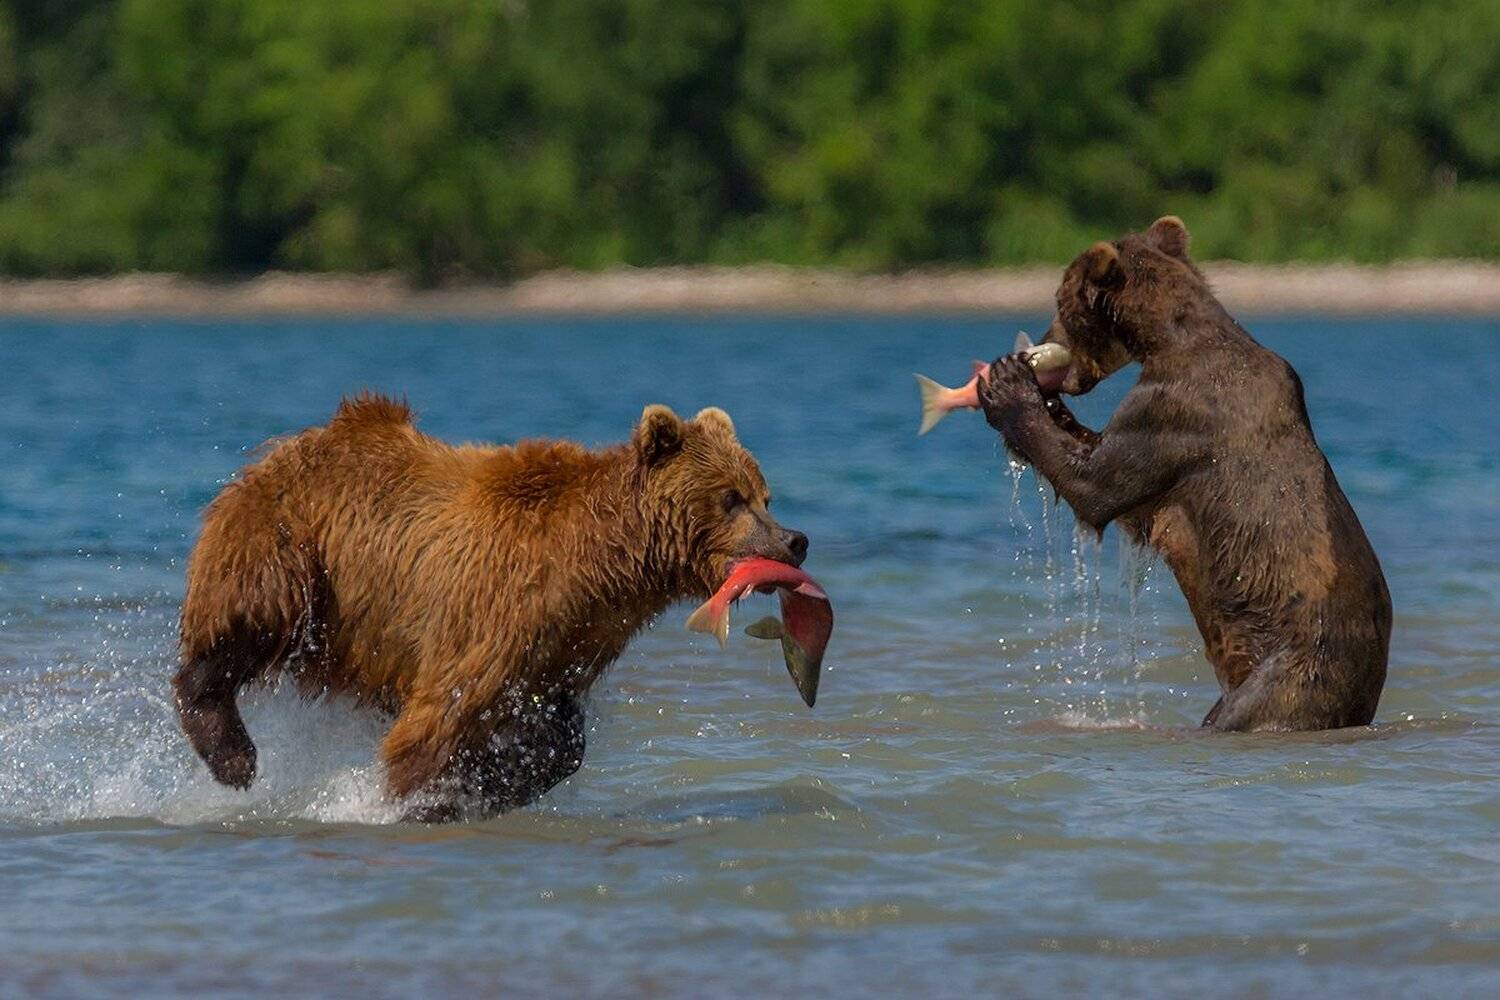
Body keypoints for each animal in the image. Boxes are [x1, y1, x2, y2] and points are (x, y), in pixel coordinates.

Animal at [174, 395, 809, 819]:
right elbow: (440, 718)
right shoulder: (492, 609)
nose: (793, 540)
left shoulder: (571, 640)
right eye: (730, 498)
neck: (604, 564)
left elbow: (559, 733)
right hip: (290, 549)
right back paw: (232, 754)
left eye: (765, 495)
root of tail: (290, 446)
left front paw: (498, 778)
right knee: (241, 626)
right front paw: (418, 796)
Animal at [977, 216, 1392, 731]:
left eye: (1059, 301)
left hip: (1292, 676)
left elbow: (1095, 487)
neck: (1170, 338)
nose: (1039, 341)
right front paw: (1050, 405)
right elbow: (1104, 465)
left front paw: (1007, 386)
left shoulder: (1172, 414)